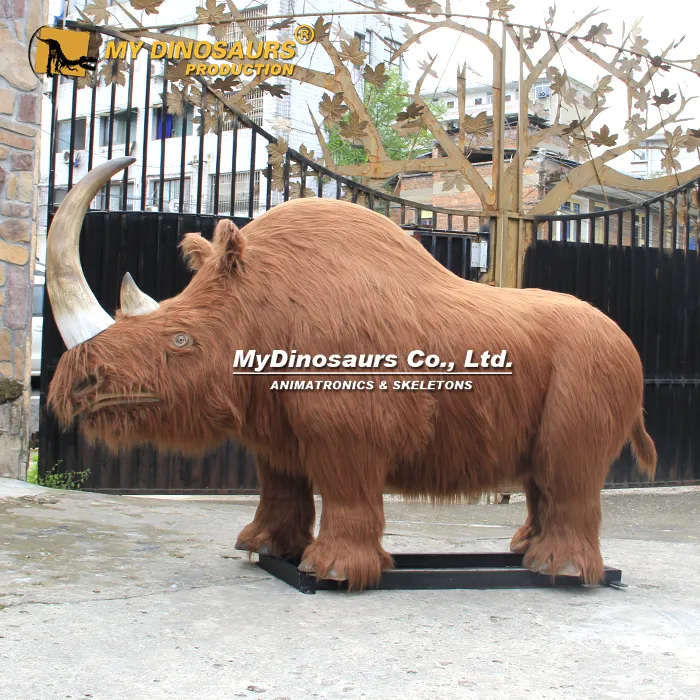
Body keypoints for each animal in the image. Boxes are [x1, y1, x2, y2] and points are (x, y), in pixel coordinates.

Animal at [46, 157, 656, 589]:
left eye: (181, 341)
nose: (78, 386)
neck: (259, 305)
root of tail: (628, 342)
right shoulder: (270, 418)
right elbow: (279, 482)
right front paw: (262, 548)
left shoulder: (350, 423)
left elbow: (345, 486)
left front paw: (333, 572)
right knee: (540, 471)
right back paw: (523, 552)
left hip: (596, 361)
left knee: (568, 465)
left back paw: (561, 573)